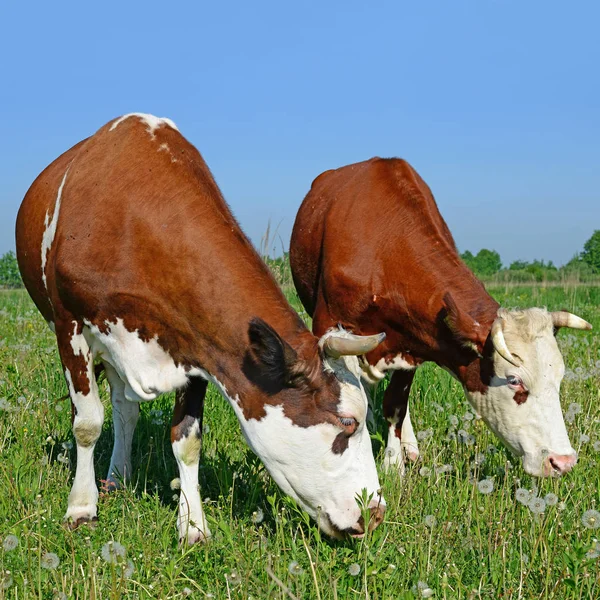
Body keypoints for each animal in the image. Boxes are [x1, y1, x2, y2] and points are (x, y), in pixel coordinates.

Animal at [17, 113, 390, 544]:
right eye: (348, 422)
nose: (375, 512)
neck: (136, 224)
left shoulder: (196, 347)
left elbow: (187, 439)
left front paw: (192, 526)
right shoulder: (70, 326)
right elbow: (87, 424)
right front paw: (80, 508)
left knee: (125, 410)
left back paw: (118, 478)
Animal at [290, 158, 592, 478]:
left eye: (559, 378)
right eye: (514, 380)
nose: (563, 461)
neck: (385, 249)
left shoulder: (409, 343)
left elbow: (396, 405)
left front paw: (394, 465)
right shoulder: (329, 328)